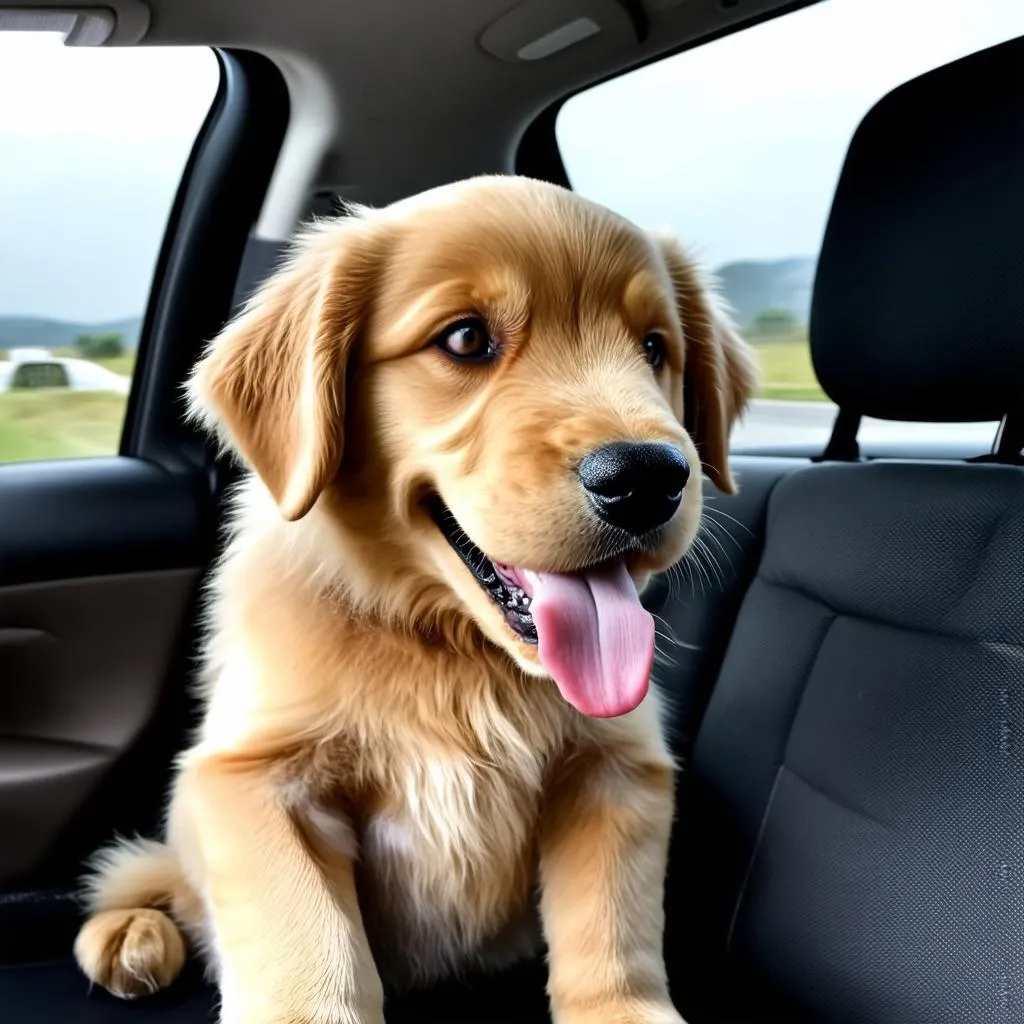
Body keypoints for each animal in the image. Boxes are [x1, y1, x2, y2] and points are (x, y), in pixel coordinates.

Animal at [72, 176, 757, 1024]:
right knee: (149, 875)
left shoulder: (615, 769)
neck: (447, 646)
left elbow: (612, 934)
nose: (648, 478)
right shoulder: (251, 776)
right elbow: (308, 952)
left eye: (655, 348)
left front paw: (623, 1008)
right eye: (465, 340)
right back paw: (130, 934)